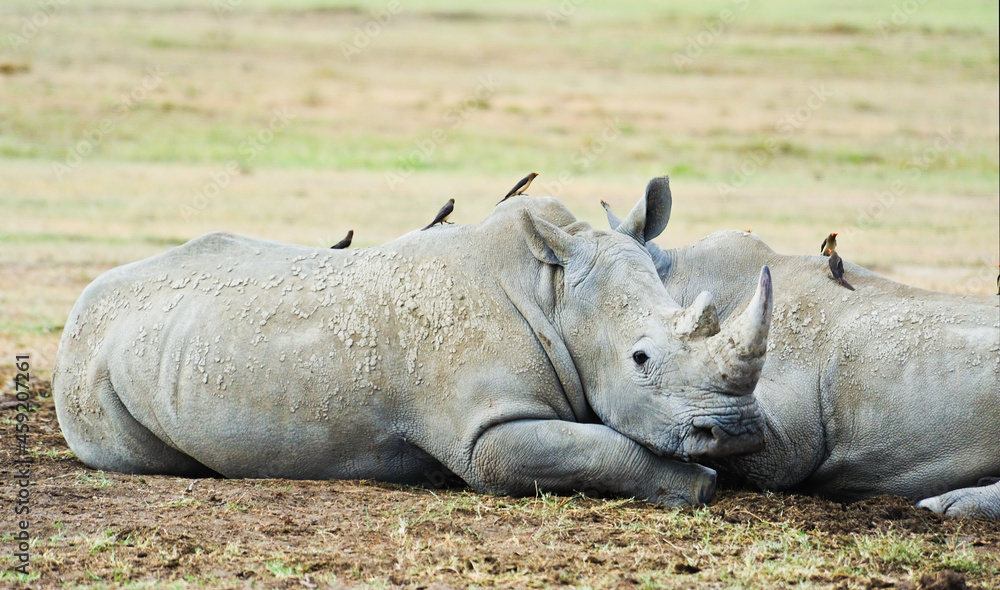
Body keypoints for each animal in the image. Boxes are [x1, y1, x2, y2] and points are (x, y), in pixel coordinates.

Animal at [53, 178, 774, 507]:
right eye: (641, 359)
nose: (737, 432)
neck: (554, 292)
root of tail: (80, 306)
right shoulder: (486, 434)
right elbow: (604, 450)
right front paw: (700, 483)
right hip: (90, 369)